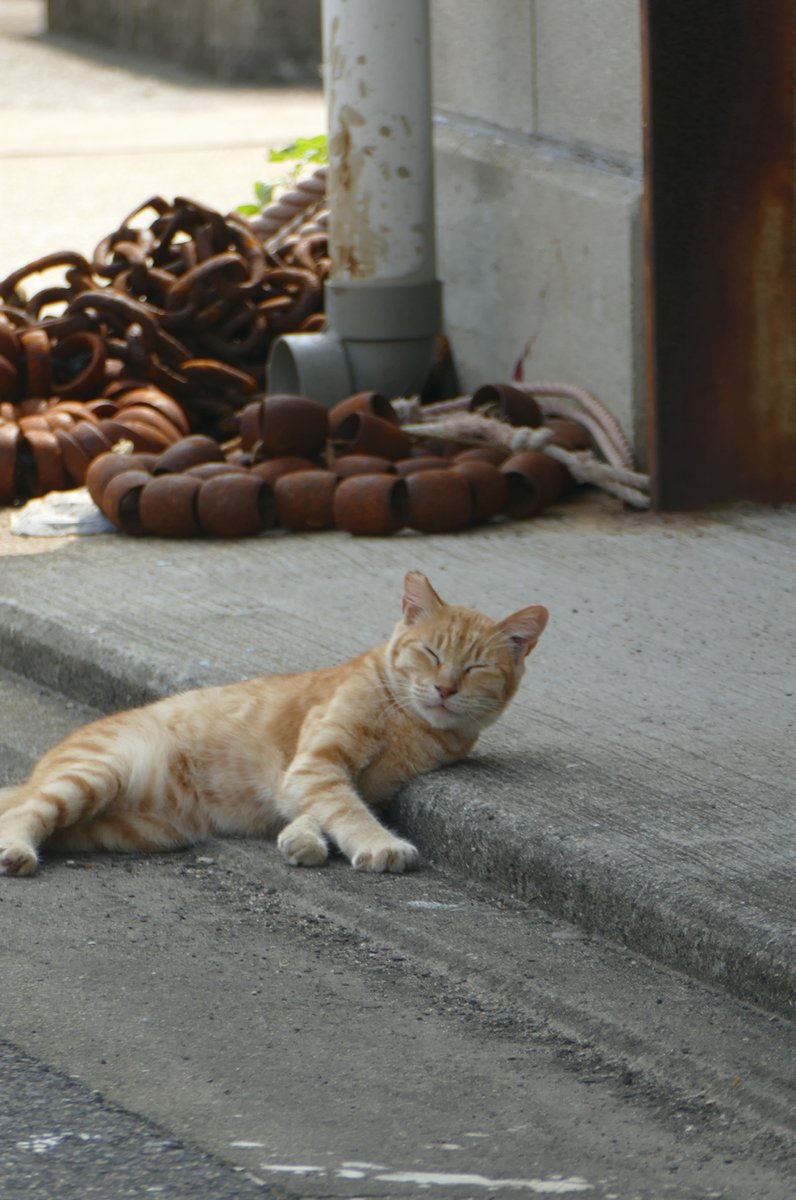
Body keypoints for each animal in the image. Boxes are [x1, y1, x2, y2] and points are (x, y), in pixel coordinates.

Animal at [0, 566, 547, 878]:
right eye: (431, 653)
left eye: (476, 667)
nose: (446, 688)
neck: (407, 725)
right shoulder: (315, 766)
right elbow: (346, 810)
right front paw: (379, 844)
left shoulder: (342, 781)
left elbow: (330, 807)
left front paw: (302, 838)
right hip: (93, 776)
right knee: (22, 813)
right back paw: (16, 852)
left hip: (132, 829)